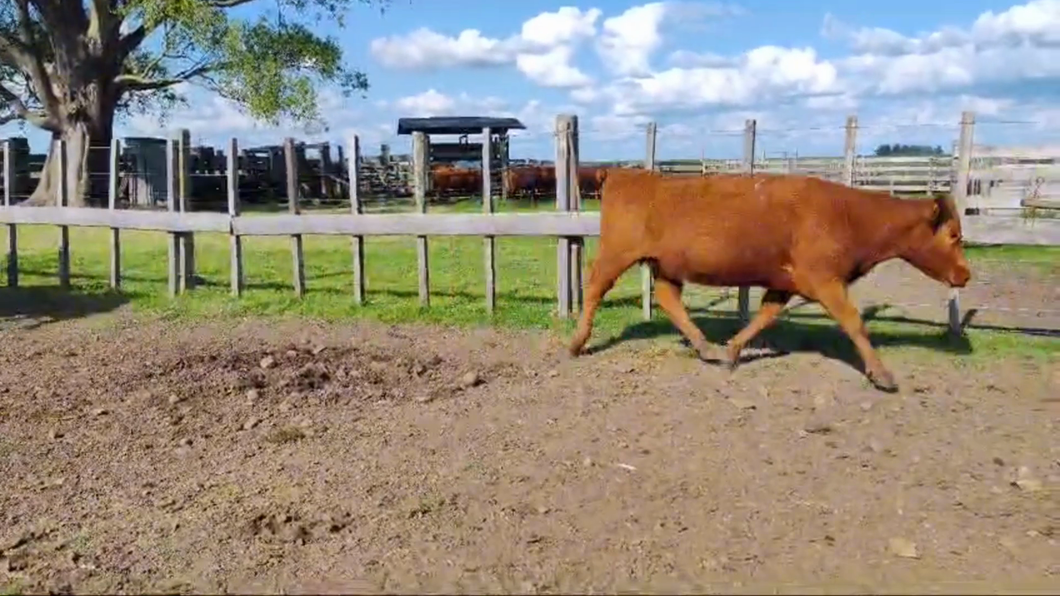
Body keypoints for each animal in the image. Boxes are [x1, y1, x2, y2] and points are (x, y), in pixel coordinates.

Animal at [568, 167, 970, 390]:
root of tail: (625, 173)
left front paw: (732, 350)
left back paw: (706, 347)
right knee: (595, 287)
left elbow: (766, 315)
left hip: (666, 265)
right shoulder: (826, 281)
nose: (966, 274)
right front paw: (881, 374)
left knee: (668, 298)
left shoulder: (786, 283)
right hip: (616, 254)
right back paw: (576, 342)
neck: (849, 214)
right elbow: (854, 322)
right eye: (953, 235)